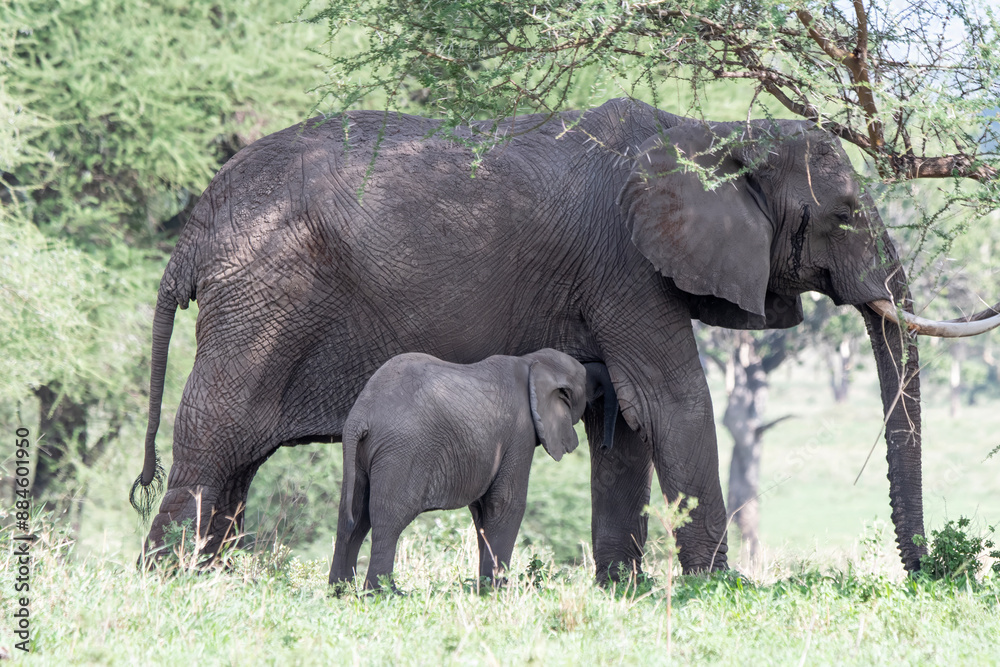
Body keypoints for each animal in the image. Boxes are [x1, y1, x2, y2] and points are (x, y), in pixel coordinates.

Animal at [329, 350, 612, 590]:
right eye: (584, 386)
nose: (606, 445)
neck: (532, 362)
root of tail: (360, 416)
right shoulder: (520, 431)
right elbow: (506, 504)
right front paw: (498, 592)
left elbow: (482, 510)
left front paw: (483, 588)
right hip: (402, 450)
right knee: (388, 518)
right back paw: (384, 593)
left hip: (360, 454)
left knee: (352, 517)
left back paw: (339, 592)